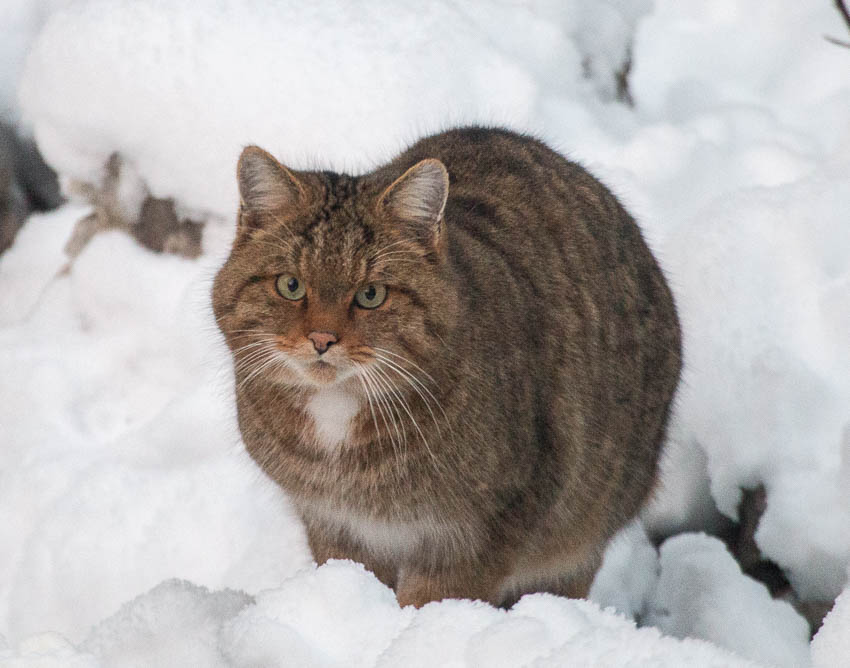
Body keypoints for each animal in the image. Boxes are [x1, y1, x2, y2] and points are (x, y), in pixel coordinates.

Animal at [214, 126, 684, 612]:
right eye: (291, 285)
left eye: (370, 294)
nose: (322, 339)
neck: (337, 417)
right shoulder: (335, 525)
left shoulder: (475, 534)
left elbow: (433, 601)